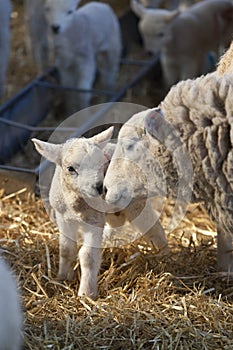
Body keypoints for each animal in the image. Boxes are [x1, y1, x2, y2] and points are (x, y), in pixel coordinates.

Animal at [32, 127, 167, 300]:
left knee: (153, 227)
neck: (76, 206)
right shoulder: (63, 218)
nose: (99, 187)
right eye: (70, 168)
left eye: (101, 164)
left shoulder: (94, 221)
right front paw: (61, 278)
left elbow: (88, 256)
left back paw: (165, 254)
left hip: (135, 205)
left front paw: (86, 293)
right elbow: (66, 249)